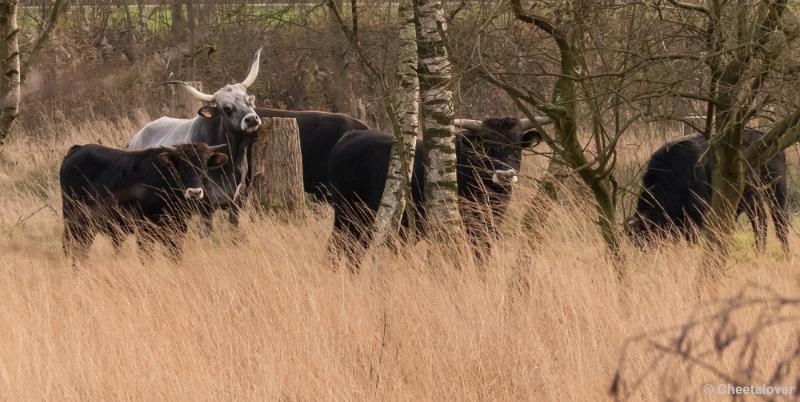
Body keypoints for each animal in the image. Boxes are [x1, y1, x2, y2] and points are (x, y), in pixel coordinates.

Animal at [59, 142, 227, 264]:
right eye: (181, 167)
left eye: (204, 167)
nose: (194, 192)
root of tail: (77, 150)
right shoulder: (144, 231)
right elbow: (147, 259)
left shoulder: (178, 230)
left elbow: (175, 257)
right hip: (74, 222)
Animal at [128, 48, 264, 231]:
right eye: (227, 108)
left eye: (248, 100)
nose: (251, 119)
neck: (230, 162)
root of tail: (137, 137)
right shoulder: (205, 207)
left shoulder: (236, 205)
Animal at [328, 117, 548, 260]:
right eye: (486, 146)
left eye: (517, 146)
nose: (505, 174)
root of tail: (350, 136)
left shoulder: (484, 232)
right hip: (347, 216)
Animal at [624, 130, 788, 253]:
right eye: (635, 241)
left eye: (646, 235)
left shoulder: (696, 214)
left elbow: (692, 238)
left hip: (773, 192)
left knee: (773, 221)